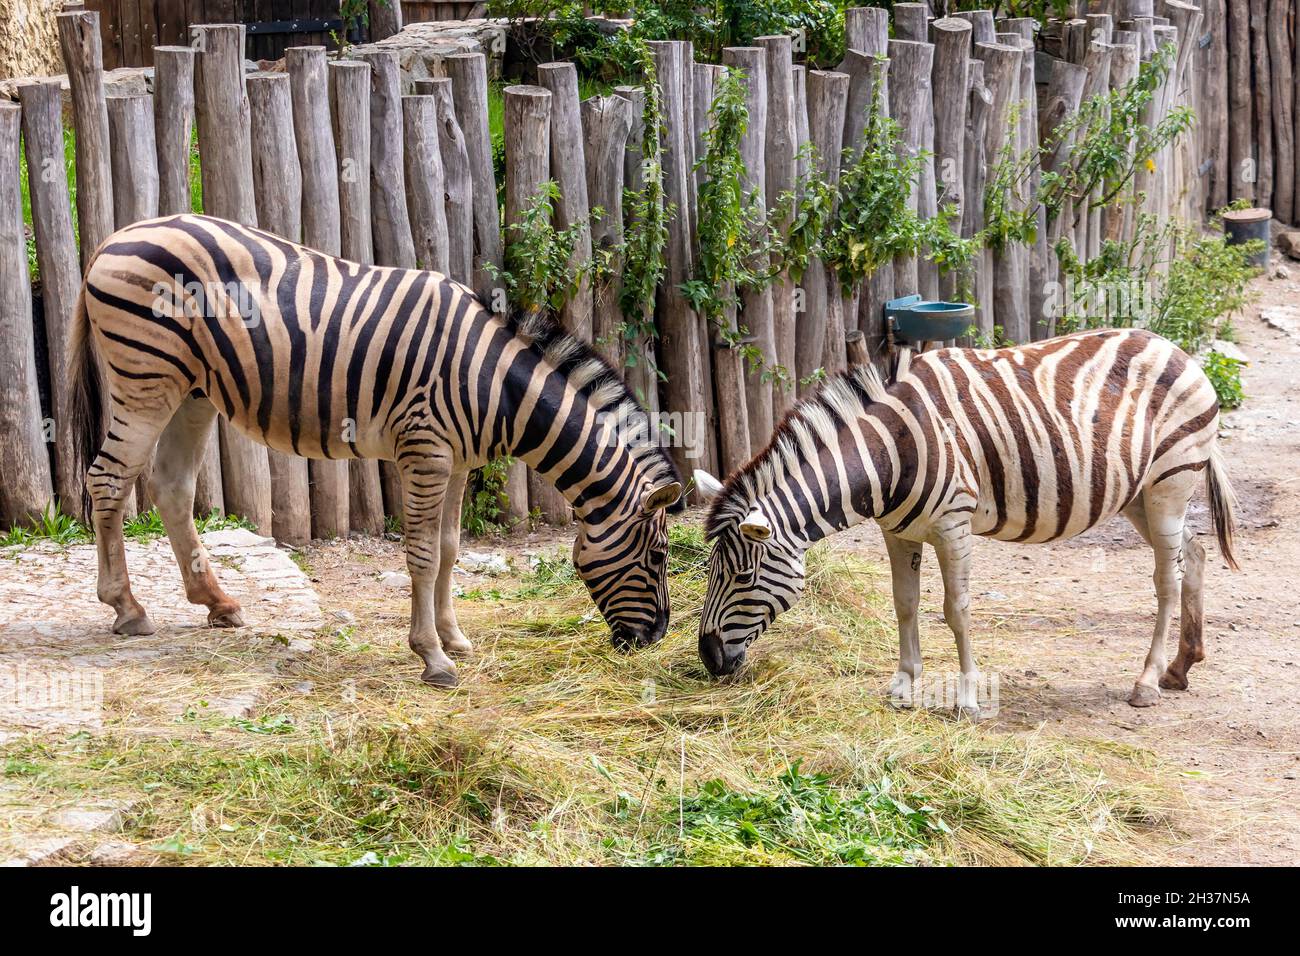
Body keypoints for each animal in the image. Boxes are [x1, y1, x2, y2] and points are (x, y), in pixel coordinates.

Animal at [69, 214, 686, 686]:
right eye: (658, 558)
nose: (653, 638)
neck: (495, 387)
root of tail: (115, 235)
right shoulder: (426, 451)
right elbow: (421, 554)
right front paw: (432, 657)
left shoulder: (457, 462)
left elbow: (449, 549)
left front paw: (454, 637)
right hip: (146, 377)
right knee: (108, 480)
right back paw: (126, 608)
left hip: (193, 390)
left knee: (171, 485)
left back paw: (216, 603)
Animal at [696, 329, 1242, 717]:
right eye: (710, 574)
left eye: (742, 577)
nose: (708, 659)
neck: (889, 452)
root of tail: (1175, 348)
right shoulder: (896, 532)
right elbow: (904, 604)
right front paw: (903, 686)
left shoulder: (953, 524)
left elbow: (955, 610)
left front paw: (968, 698)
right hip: (1138, 493)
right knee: (1193, 554)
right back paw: (1181, 667)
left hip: (1170, 481)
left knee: (1167, 577)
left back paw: (1147, 681)